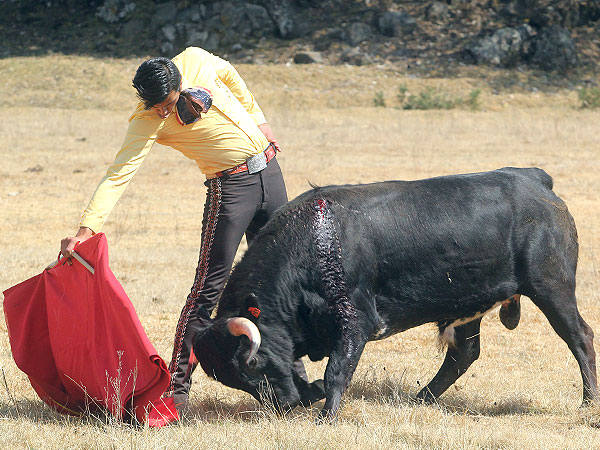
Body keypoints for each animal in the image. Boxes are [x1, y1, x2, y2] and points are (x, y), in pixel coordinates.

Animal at [192, 167, 596, 420]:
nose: (284, 405)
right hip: (470, 304)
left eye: (251, 364)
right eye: (235, 379)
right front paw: (313, 394)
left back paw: (588, 402)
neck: (314, 244)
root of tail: (535, 180)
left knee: (580, 337)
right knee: (463, 354)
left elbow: (338, 371)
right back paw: (421, 400)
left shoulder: (354, 322)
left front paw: (325, 417)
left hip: (552, 287)